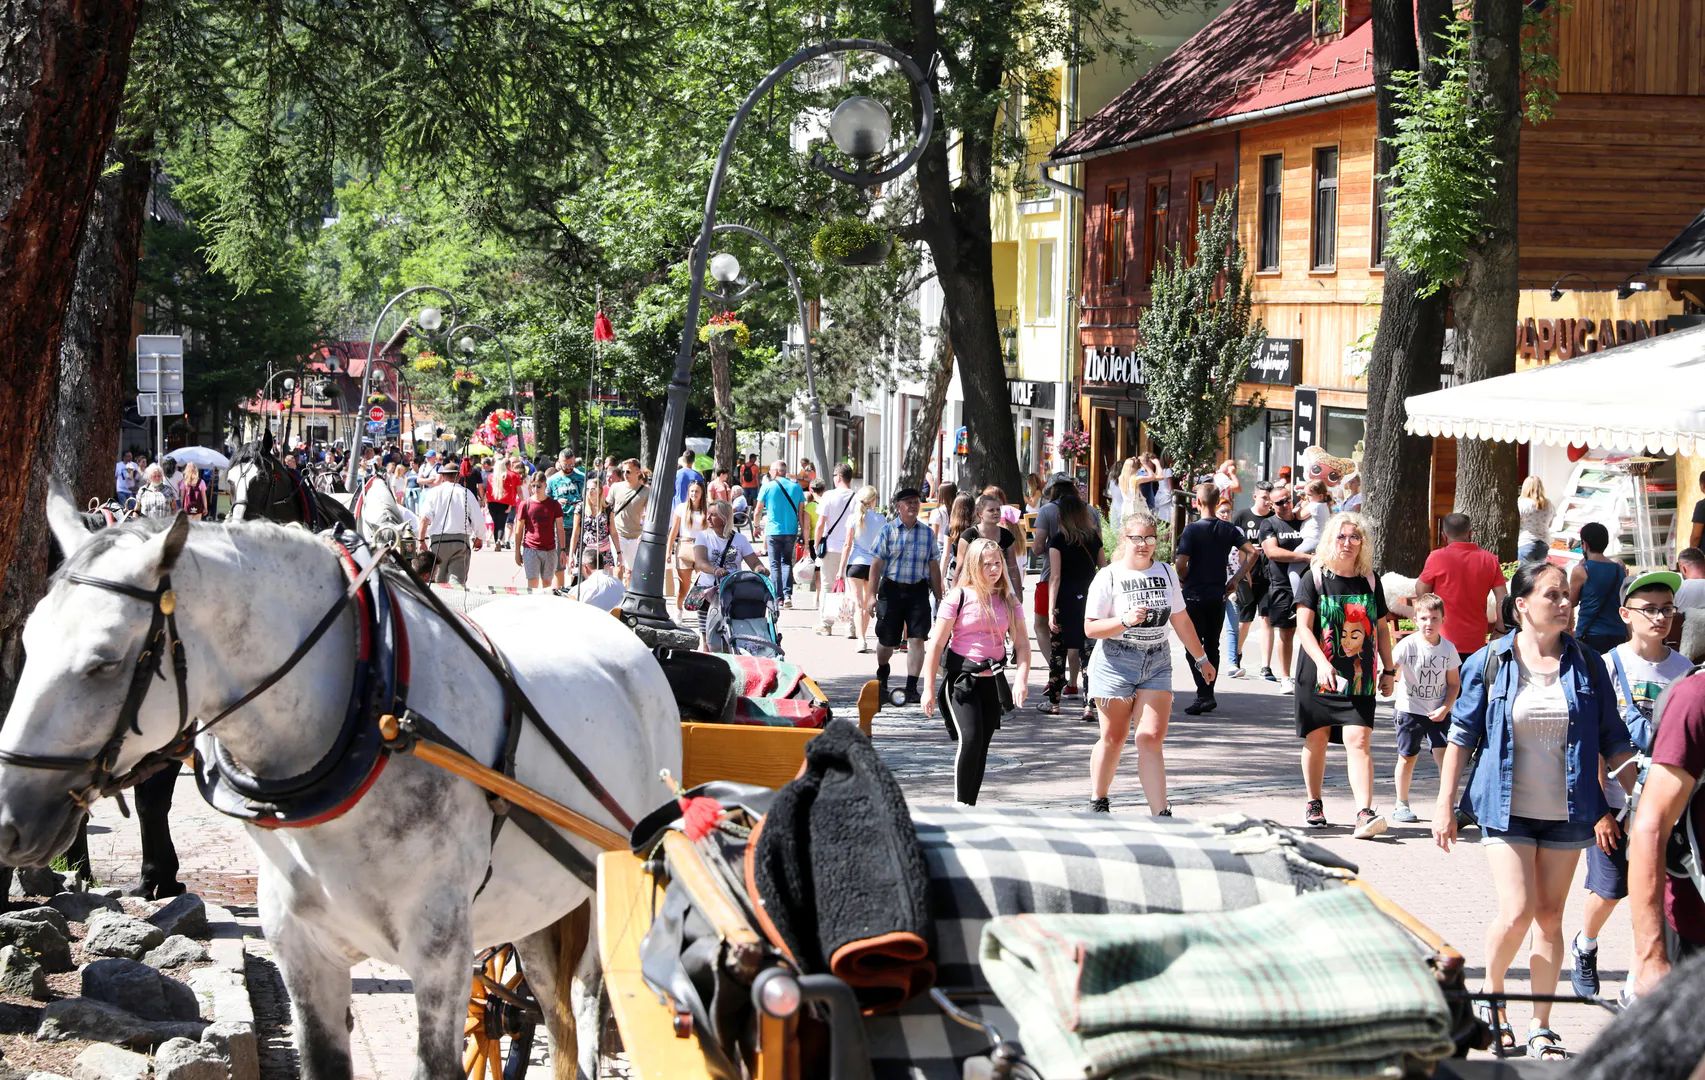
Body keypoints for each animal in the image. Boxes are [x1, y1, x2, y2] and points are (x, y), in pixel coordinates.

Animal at [0, 491, 678, 1078]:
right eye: (27, 641)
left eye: (104, 662)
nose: (7, 822)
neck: (366, 714)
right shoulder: (303, 952)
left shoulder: (440, 954)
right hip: (538, 904)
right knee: (555, 1014)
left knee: (587, 1007)